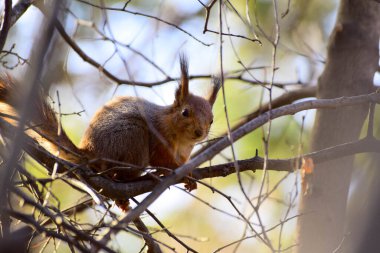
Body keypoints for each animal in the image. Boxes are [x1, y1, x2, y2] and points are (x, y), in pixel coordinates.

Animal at [0, 54, 221, 198]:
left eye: (211, 120)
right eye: (185, 112)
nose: (200, 132)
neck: (181, 139)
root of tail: (89, 152)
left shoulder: (185, 151)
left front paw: (189, 175)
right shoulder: (158, 138)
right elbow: (162, 160)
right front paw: (173, 170)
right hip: (133, 137)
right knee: (119, 175)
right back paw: (140, 177)